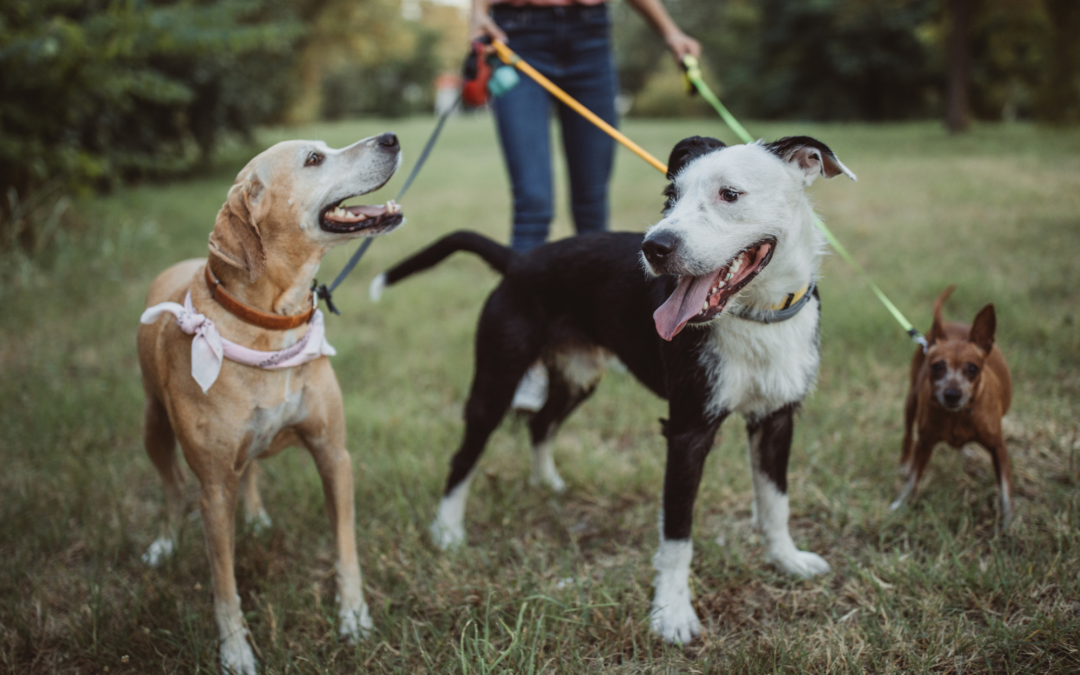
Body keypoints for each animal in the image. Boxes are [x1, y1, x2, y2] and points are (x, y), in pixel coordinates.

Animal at [137, 134, 403, 669]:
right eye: (314, 159)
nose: (391, 139)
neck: (272, 323)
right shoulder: (214, 489)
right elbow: (223, 582)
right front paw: (235, 650)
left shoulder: (333, 454)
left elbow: (345, 547)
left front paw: (354, 617)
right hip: (153, 426)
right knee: (172, 490)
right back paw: (164, 543)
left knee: (251, 468)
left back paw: (257, 516)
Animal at [375, 137, 855, 643]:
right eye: (670, 196)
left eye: (730, 194)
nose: (654, 247)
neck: (756, 316)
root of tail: (519, 260)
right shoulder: (687, 431)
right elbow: (677, 533)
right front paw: (671, 612)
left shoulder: (777, 419)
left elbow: (776, 503)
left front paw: (787, 561)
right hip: (496, 381)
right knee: (465, 456)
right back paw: (447, 531)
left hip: (578, 377)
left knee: (541, 424)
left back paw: (547, 483)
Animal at [885, 285, 1010, 527]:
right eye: (937, 366)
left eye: (972, 368)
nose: (952, 394)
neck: (958, 416)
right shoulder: (924, 444)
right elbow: (913, 479)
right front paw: (900, 504)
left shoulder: (999, 448)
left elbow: (1006, 489)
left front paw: (1010, 522)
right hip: (911, 403)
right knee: (908, 436)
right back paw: (905, 464)